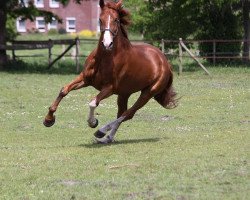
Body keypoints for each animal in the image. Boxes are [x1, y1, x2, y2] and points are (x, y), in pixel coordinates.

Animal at [43, 0, 177, 144]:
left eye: (116, 19)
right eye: (100, 20)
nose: (107, 44)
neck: (105, 57)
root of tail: (164, 61)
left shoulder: (109, 88)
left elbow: (93, 102)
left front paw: (93, 122)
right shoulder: (85, 79)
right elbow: (64, 90)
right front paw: (48, 119)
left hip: (148, 92)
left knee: (128, 113)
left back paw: (101, 131)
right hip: (124, 93)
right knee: (123, 113)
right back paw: (108, 138)